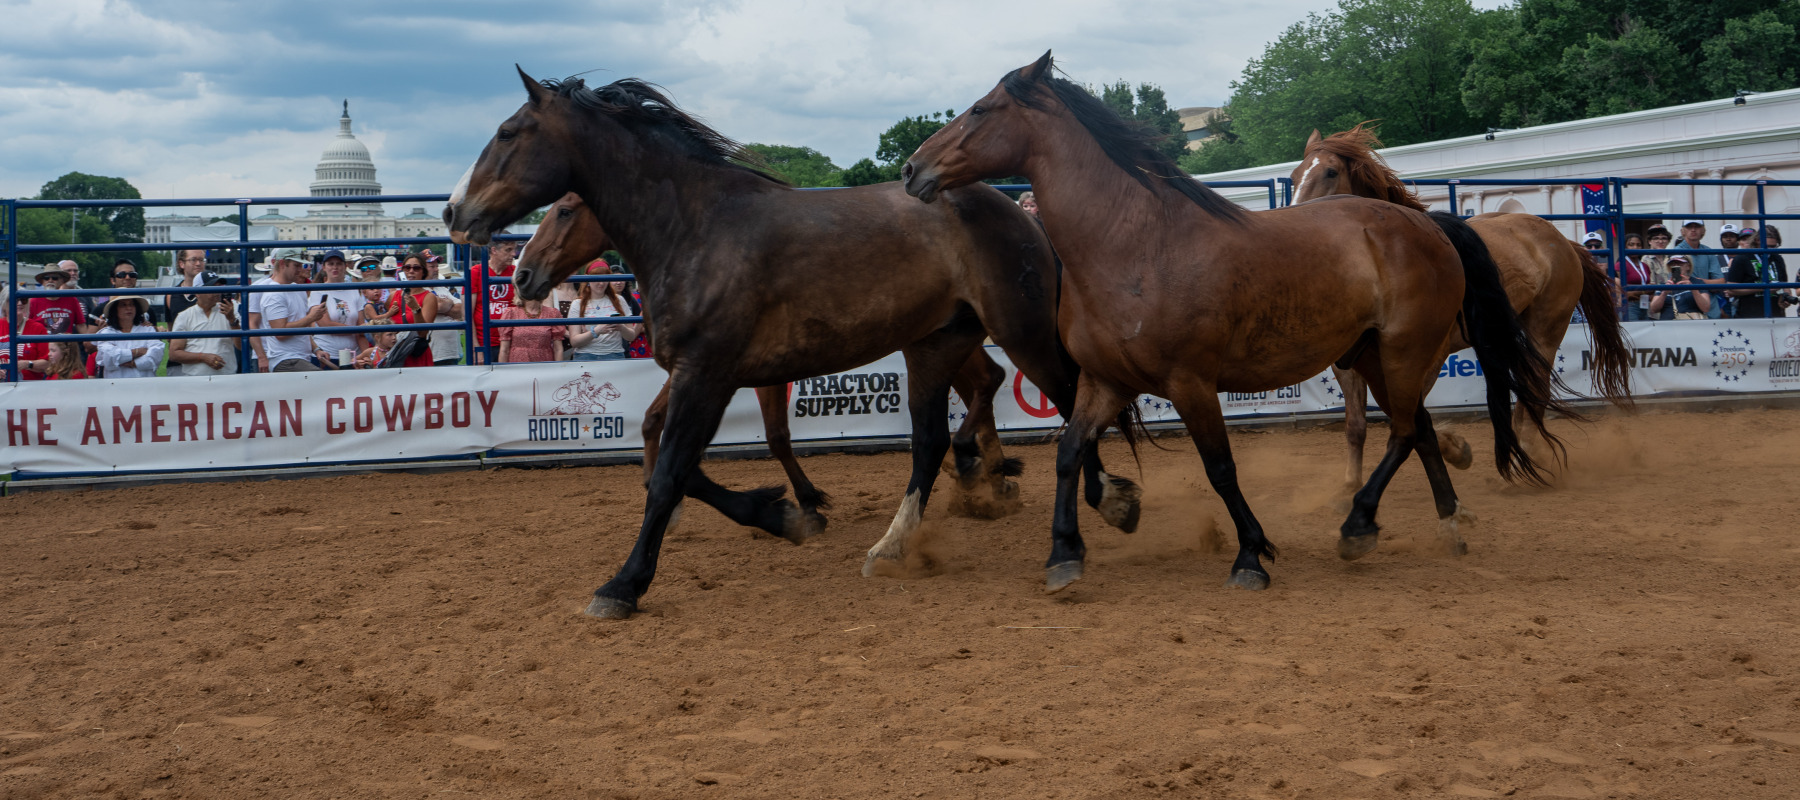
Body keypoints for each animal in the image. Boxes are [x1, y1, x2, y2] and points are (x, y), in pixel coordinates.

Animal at [516, 191, 1037, 541]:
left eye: (565, 210)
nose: (523, 275)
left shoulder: (746, 375)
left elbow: (776, 437)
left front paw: (807, 504)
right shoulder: (698, 370)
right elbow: (652, 420)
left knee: (988, 382)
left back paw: (980, 469)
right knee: (985, 384)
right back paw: (988, 472)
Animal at [903, 51, 1573, 592]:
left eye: (981, 110)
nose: (912, 169)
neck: (1132, 247)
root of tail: (1430, 225)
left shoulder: (1191, 383)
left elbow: (1220, 469)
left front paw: (1251, 555)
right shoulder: (1105, 381)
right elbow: (1069, 452)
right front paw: (1067, 553)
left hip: (1409, 352)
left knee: (1407, 432)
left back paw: (1358, 526)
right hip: (1373, 357)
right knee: (1422, 430)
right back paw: (1447, 524)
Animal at [1290, 125, 1633, 494]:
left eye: (1331, 172)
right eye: (1294, 176)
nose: (1297, 221)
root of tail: (1563, 240)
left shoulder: (1422, 358)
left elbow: (1407, 418)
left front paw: (1459, 451)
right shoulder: (1349, 365)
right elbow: (1356, 426)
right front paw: (1350, 486)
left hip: (1547, 328)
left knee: (1538, 385)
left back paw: (1528, 452)